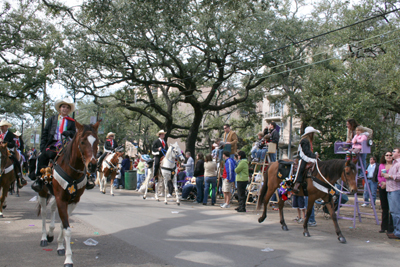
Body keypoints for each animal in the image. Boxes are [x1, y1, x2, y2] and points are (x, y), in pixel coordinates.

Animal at [36, 122, 99, 267]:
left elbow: (63, 225)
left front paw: (60, 247)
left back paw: (50, 235)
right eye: (82, 141)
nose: (92, 166)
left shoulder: (73, 201)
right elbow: (67, 229)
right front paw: (68, 259)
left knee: (52, 209)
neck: (72, 172)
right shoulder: (61, 199)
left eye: (97, 141)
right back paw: (44, 238)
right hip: (43, 192)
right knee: (44, 213)